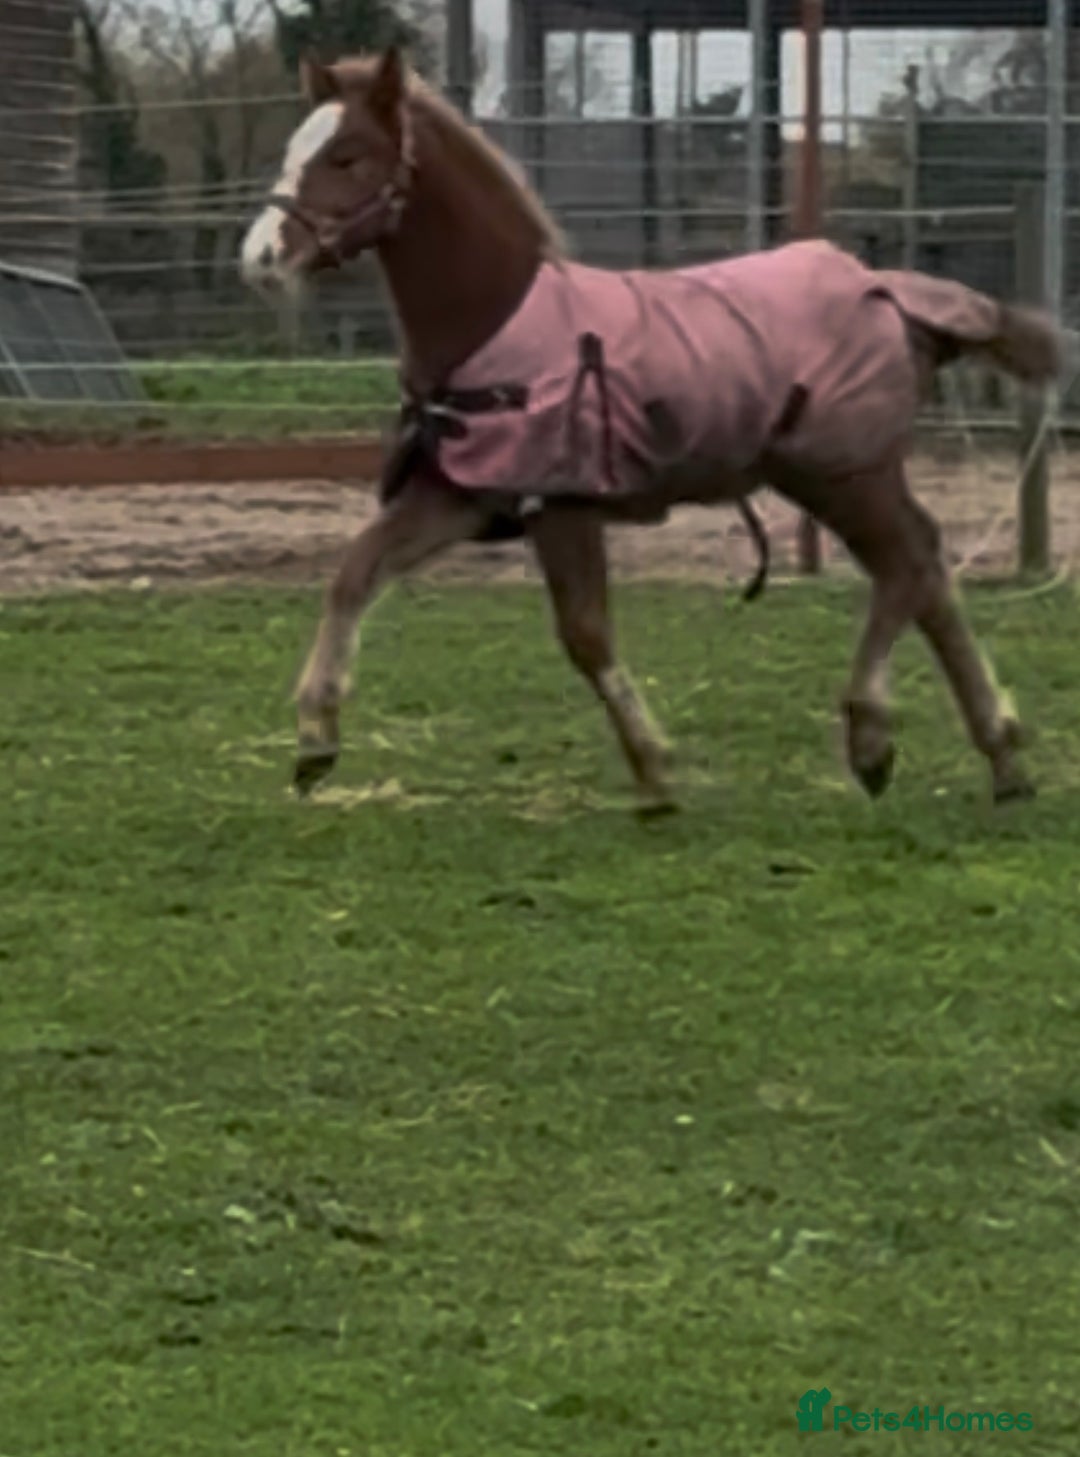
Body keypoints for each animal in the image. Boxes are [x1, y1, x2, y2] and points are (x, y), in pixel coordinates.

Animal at [240, 48, 1062, 812]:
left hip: (845, 472)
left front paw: (654, 768)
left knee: (909, 566)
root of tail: (888, 291)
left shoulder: (563, 507)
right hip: (835, 476)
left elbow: (586, 636)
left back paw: (874, 734)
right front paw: (315, 739)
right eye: (295, 148)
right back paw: (1002, 758)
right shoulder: (464, 495)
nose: (260, 258)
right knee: (922, 572)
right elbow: (355, 573)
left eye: (348, 156)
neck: (496, 324)